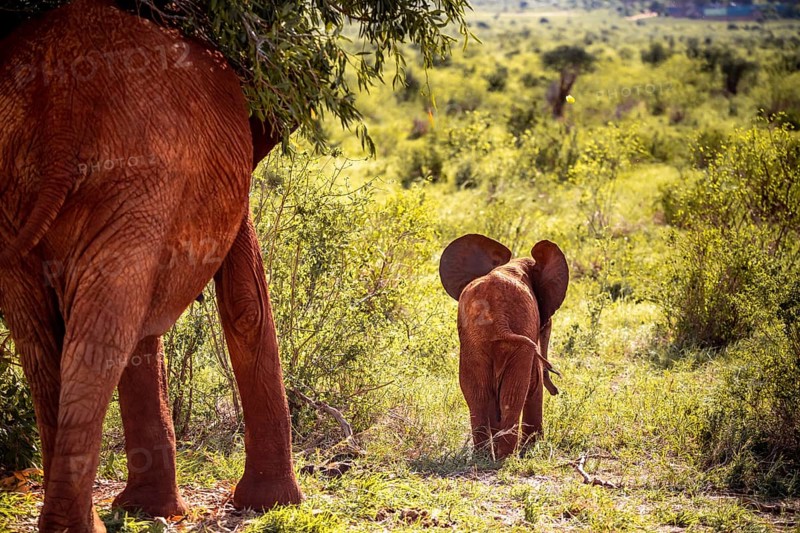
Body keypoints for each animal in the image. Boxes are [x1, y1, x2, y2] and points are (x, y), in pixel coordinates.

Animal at [0, 0, 301, 530]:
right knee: (94, 338)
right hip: (137, 173)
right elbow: (244, 302)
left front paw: (145, 511)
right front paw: (270, 506)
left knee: (47, 341)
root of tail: (59, 105)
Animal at [439, 234, 569, 459]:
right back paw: (505, 457)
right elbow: (533, 384)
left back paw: (483, 456)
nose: (556, 391)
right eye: (547, 325)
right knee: (514, 392)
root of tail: (498, 318)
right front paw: (532, 447)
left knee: (477, 392)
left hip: (474, 342)